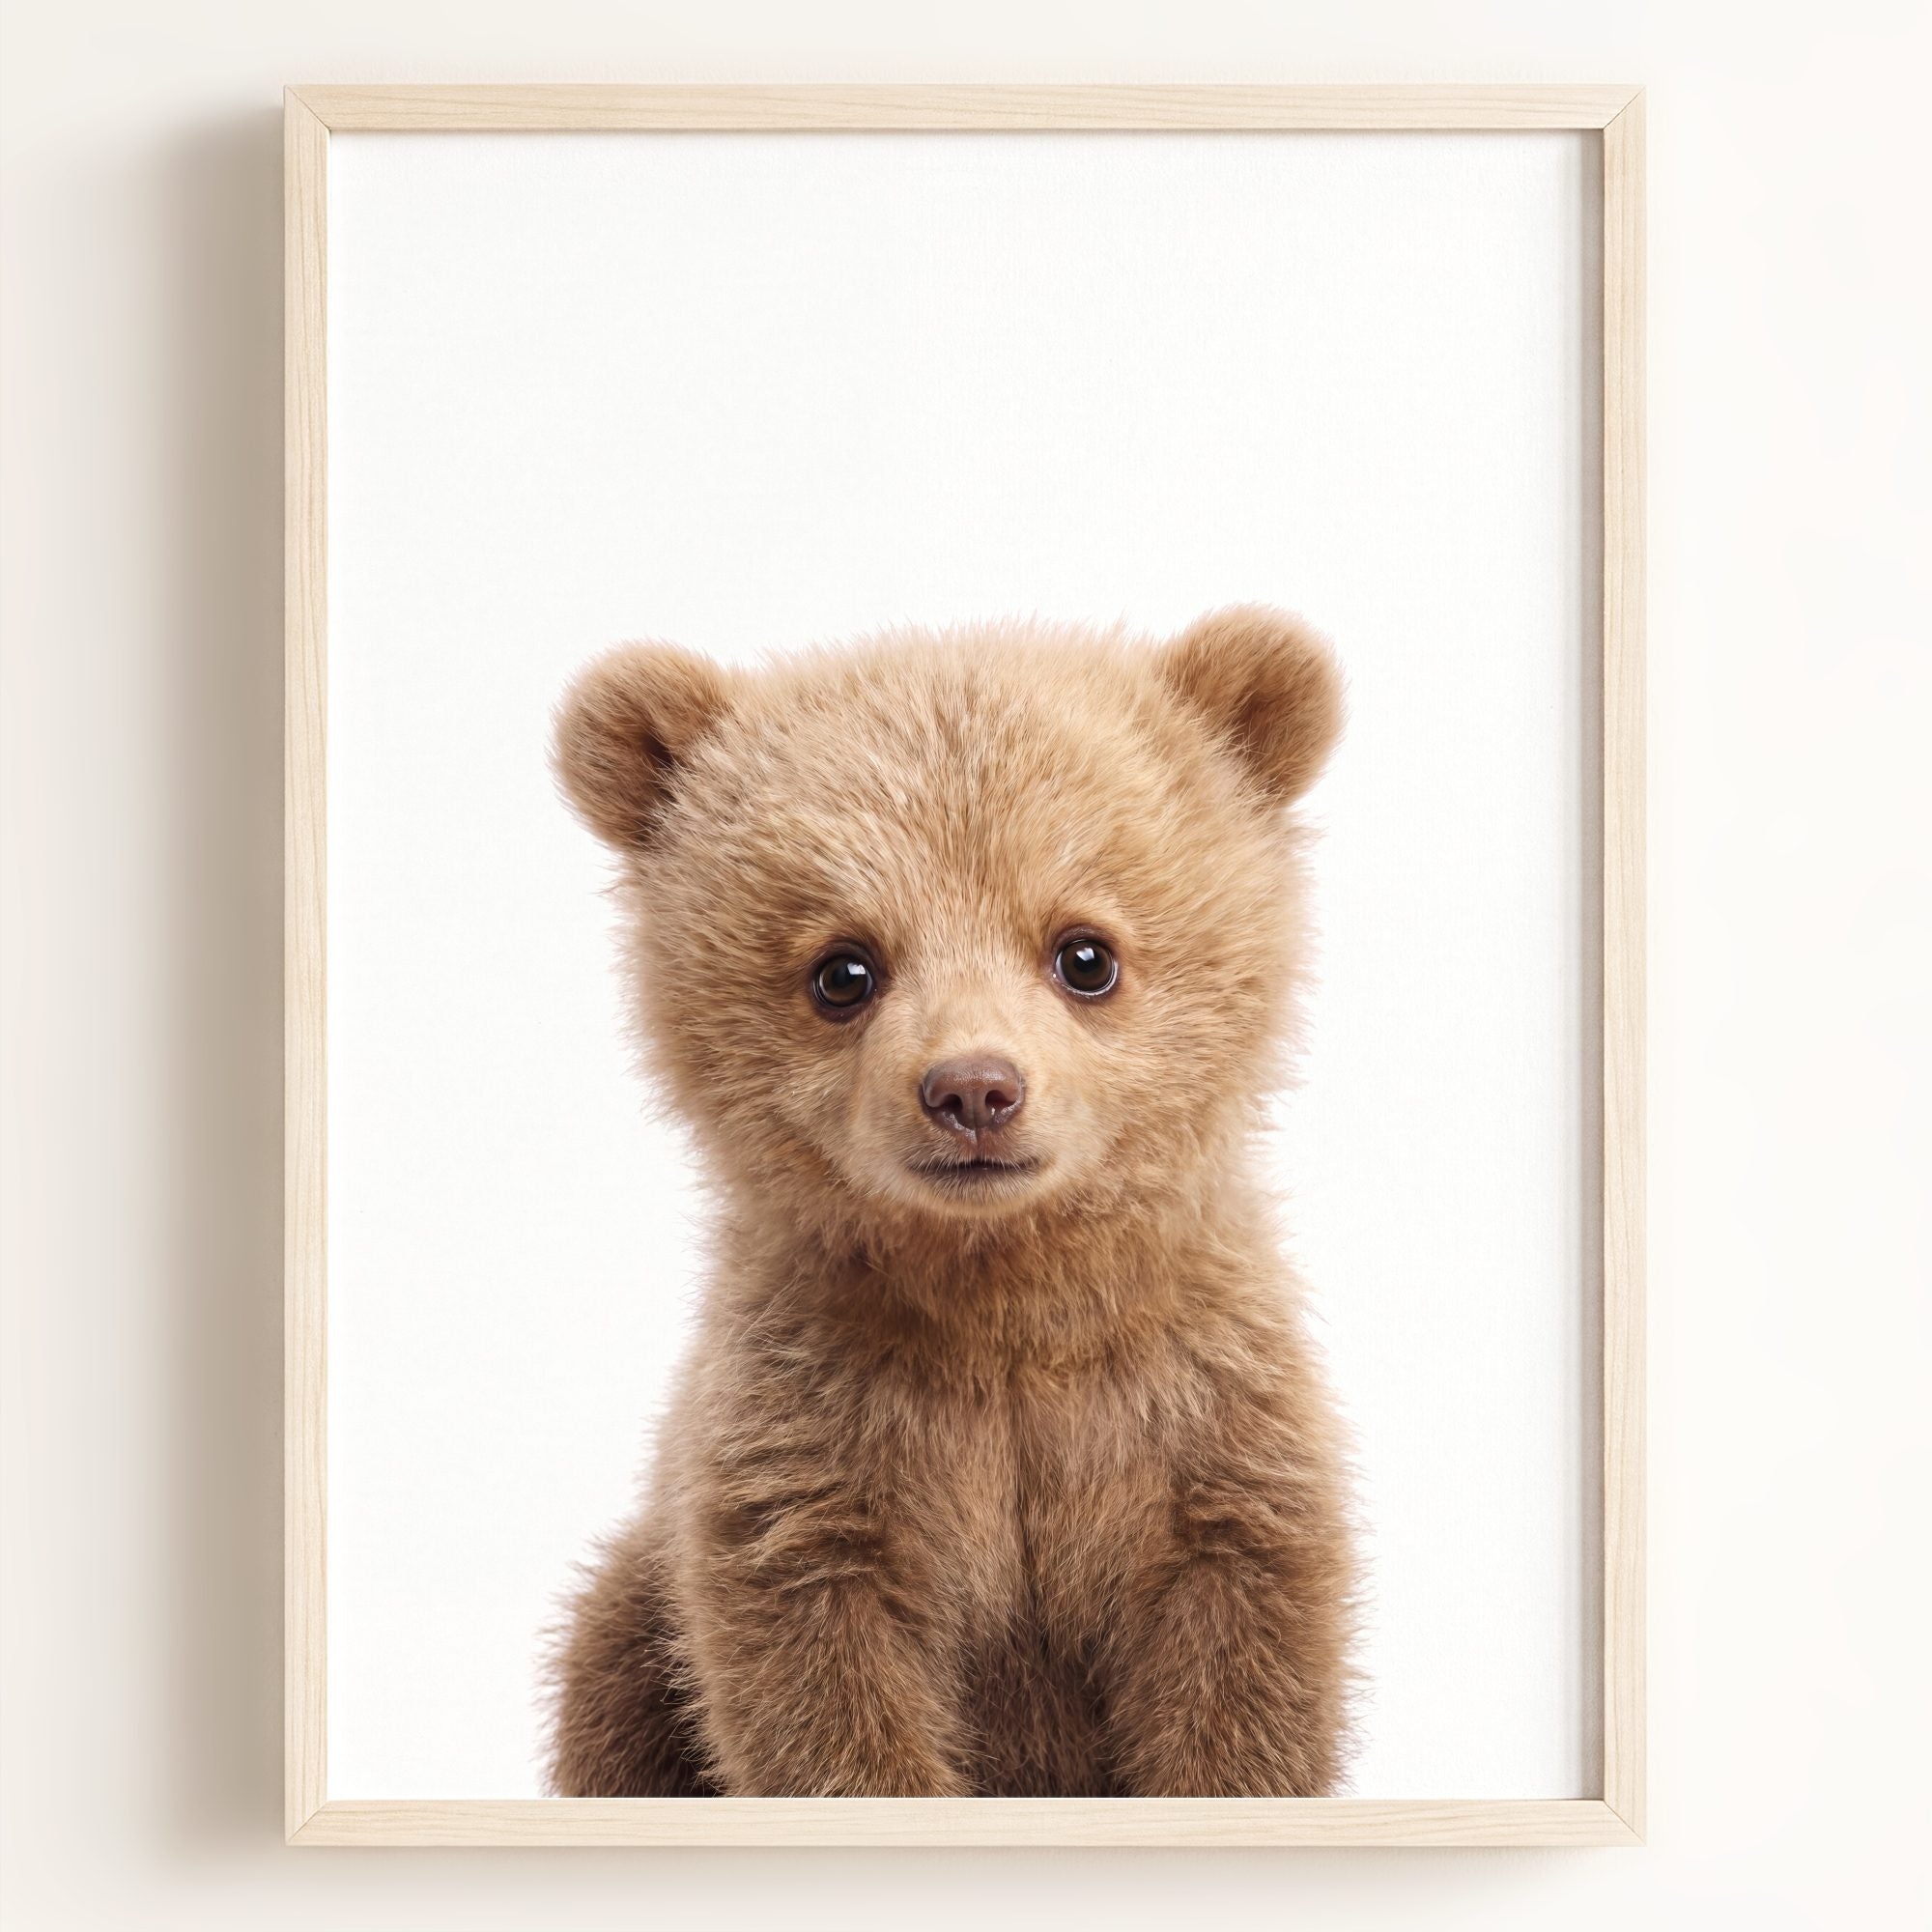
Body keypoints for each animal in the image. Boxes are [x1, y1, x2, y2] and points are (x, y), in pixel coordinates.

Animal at [545, 606, 1356, 1799]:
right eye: (842, 968)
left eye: (1084, 952)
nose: (973, 1088)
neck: (1001, 1298)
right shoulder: (815, 1445)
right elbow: (820, 1686)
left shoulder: (1197, 1423)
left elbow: (1240, 1670)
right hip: (632, 1626)